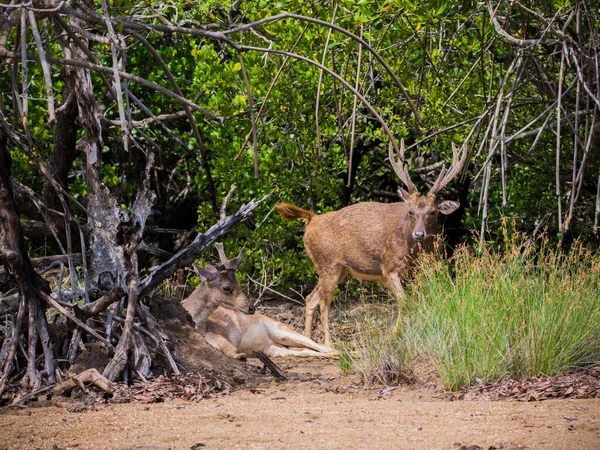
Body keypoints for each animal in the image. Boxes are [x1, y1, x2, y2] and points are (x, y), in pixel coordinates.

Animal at [183, 244, 332, 360]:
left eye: (239, 283)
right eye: (226, 287)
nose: (251, 308)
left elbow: (231, 348)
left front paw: (240, 355)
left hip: (281, 329)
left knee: (325, 347)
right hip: (273, 347)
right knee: (306, 350)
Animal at [276, 140, 468, 348]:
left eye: (433, 212)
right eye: (410, 211)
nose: (419, 234)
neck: (412, 250)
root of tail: (311, 220)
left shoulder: (422, 270)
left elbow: (424, 301)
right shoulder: (389, 267)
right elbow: (405, 303)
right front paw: (392, 336)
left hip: (339, 268)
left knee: (311, 298)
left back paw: (308, 340)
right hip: (328, 264)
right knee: (324, 303)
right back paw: (329, 344)